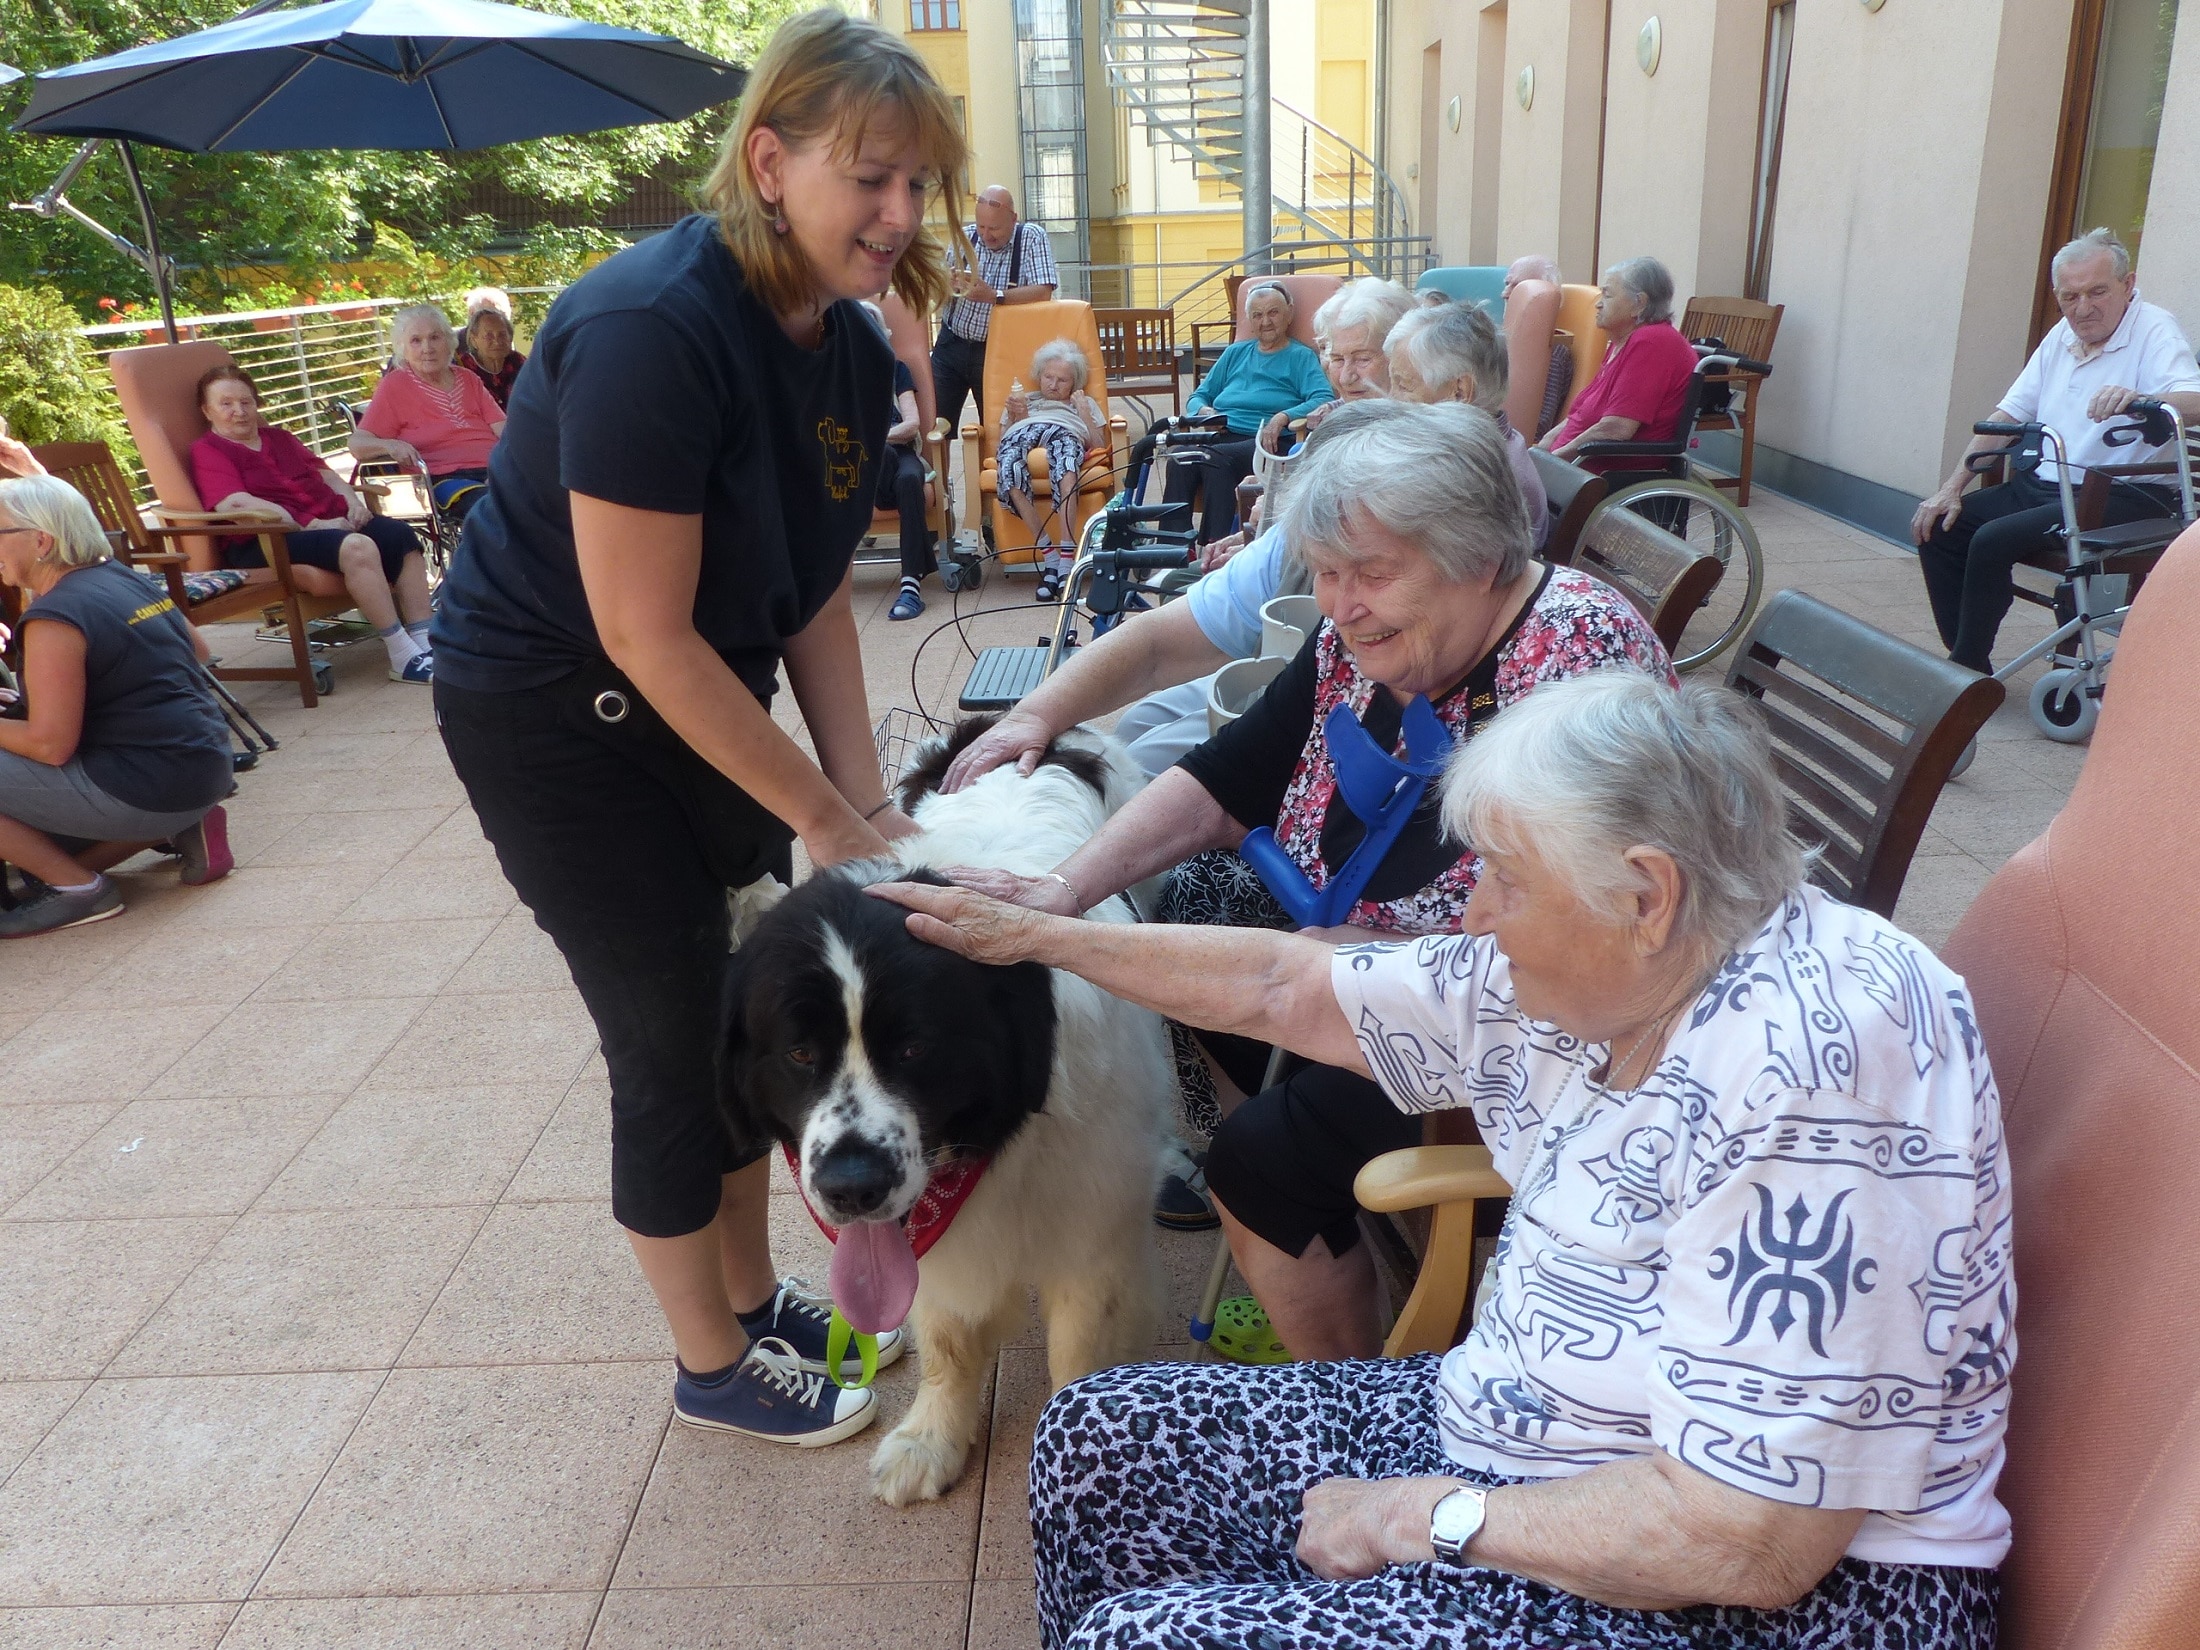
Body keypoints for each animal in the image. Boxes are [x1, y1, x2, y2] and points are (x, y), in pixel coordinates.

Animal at [717, 721, 1170, 1513]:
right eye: (800, 1053)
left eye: (914, 1047)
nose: (852, 1187)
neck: (998, 1149)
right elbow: (950, 1342)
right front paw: (931, 1443)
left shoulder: (1094, 1235)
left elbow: (1079, 1359)